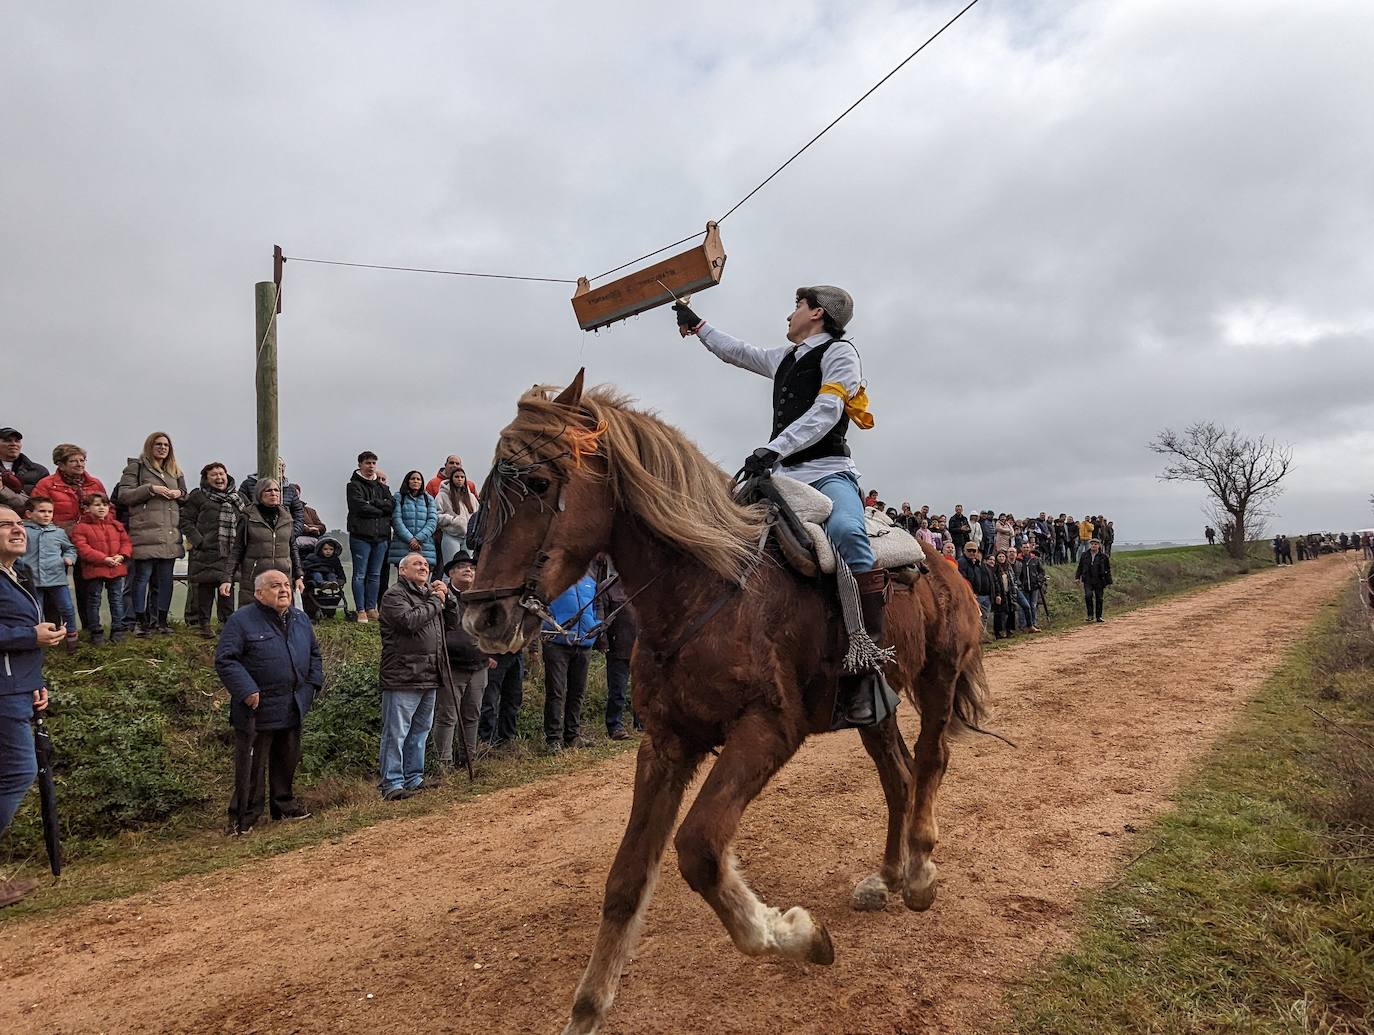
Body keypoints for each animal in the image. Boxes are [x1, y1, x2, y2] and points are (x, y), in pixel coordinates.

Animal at [467, 371, 994, 1033]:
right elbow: (626, 879)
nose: (483, 616)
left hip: (937, 679)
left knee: (928, 763)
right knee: (897, 777)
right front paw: (587, 1009)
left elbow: (699, 848)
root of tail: (947, 565)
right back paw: (887, 877)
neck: (704, 590)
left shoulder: (766, 730)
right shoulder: (666, 744)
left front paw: (795, 934)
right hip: (875, 708)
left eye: (539, 483)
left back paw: (920, 874)